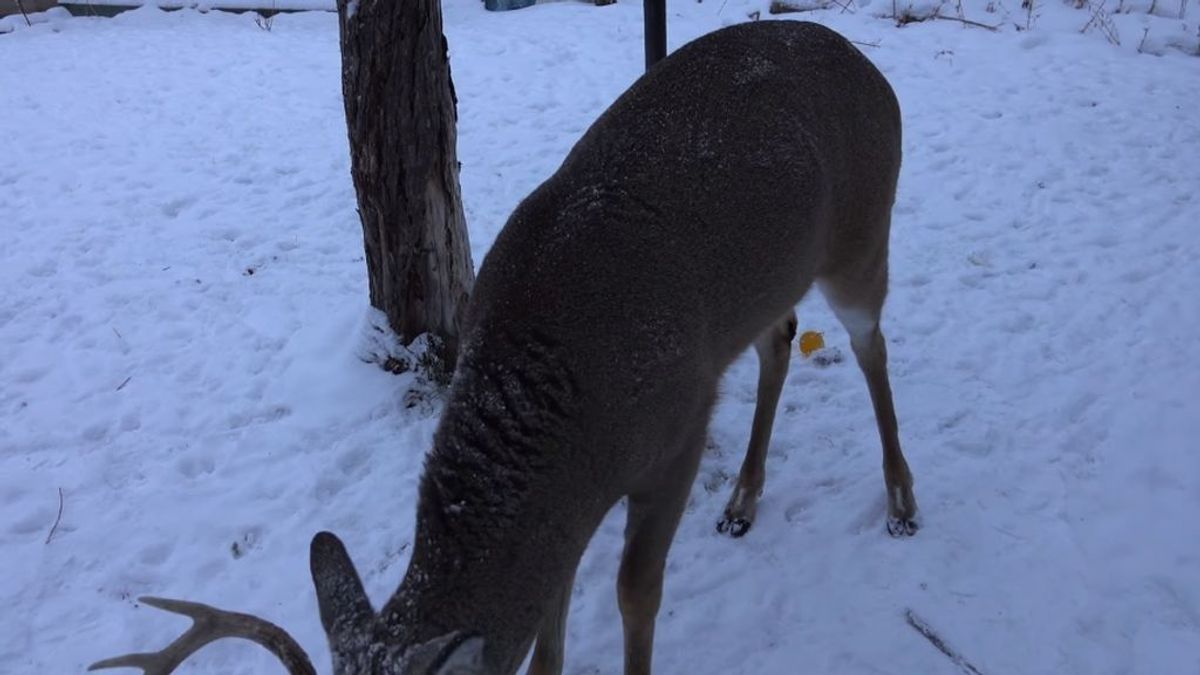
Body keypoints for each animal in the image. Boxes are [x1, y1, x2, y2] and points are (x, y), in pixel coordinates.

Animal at [91, 18, 916, 672]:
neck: (576, 416)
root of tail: (872, 67)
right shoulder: (571, 505)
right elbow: (550, 619)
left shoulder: (679, 428)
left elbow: (634, 594)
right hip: (781, 280)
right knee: (780, 340)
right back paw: (743, 500)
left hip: (861, 234)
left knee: (870, 343)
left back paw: (902, 500)